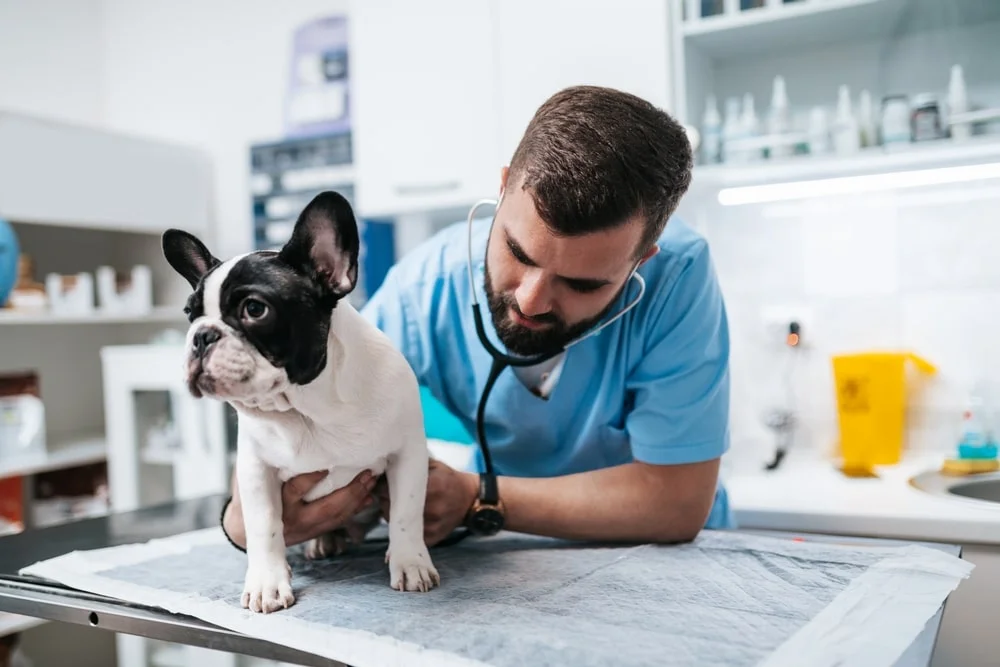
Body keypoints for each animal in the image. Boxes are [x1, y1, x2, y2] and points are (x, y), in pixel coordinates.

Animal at [163, 190, 438, 612]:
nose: (201, 336)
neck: (310, 407)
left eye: (254, 309)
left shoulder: (407, 454)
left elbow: (406, 512)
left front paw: (410, 562)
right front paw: (267, 583)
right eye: (190, 314)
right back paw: (324, 540)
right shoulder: (255, 470)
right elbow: (264, 527)